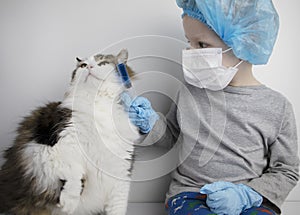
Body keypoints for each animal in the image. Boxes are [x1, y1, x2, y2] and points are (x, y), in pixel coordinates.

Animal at [0, 49, 141, 215]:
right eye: (83, 65)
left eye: (102, 63)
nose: (89, 67)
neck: (98, 105)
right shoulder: (46, 148)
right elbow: (75, 171)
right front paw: (69, 201)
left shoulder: (121, 172)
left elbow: (117, 207)